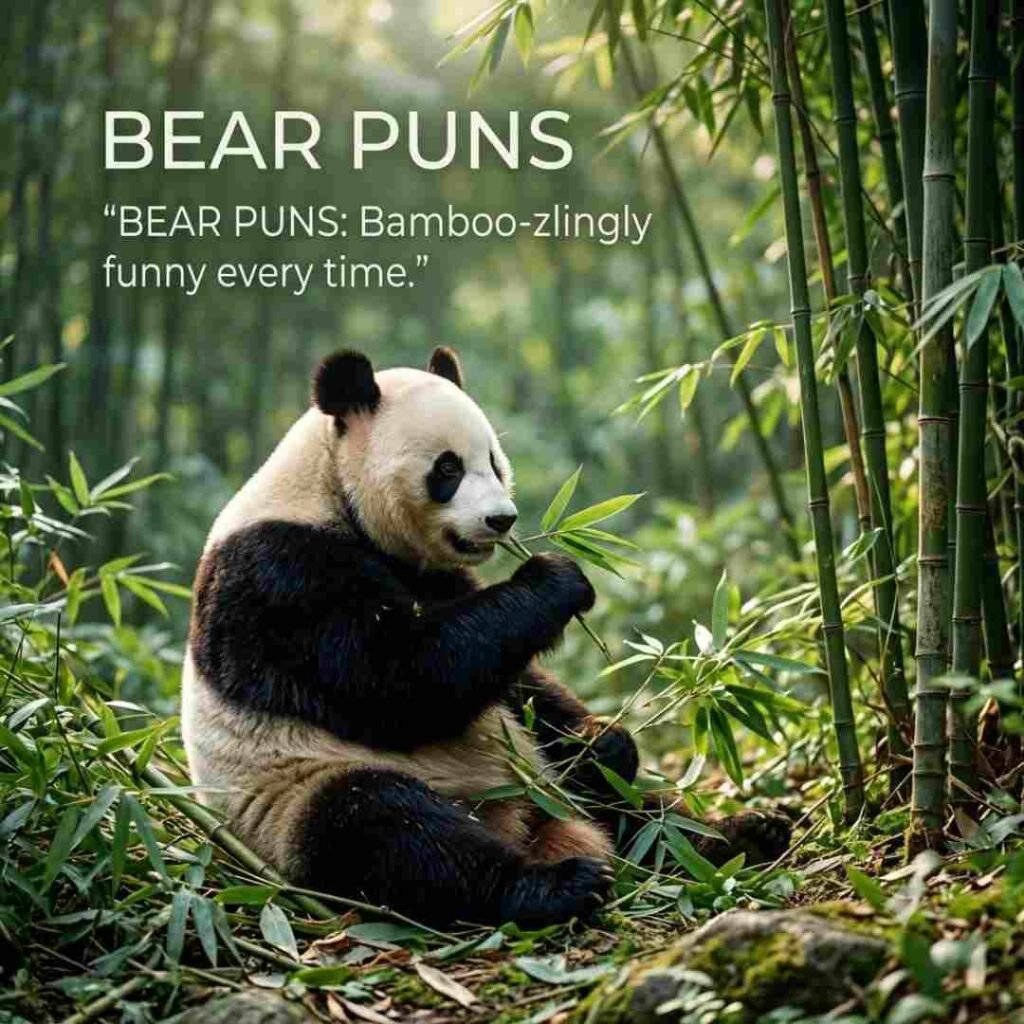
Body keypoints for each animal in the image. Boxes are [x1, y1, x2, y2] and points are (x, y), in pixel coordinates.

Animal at [181, 347, 789, 928]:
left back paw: (739, 834)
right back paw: (556, 885)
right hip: (294, 795)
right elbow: (398, 681)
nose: (503, 520)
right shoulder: (281, 576)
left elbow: (513, 677)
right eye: (447, 468)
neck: (328, 490)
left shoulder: (439, 577)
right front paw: (556, 578)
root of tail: (525, 819)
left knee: (634, 813)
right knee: (391, 831)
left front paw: (603, 741)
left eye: (494, 462)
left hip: (545, 781)